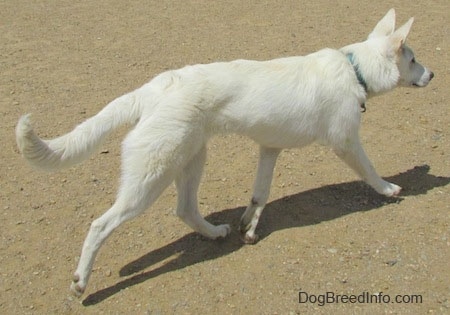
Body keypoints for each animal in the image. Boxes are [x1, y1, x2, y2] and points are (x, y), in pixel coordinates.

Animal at [16, 8, 432, 298]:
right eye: (412, 59)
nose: (432, 76)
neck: (354, 69)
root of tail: (153, 88)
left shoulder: (270, 149)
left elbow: (260, 194)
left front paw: (249, 227)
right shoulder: (345, 142)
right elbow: (370, 170)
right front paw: (390, 190)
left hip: (191, 159)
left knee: (185, 209)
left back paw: (215, 232)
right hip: (151, 177)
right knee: (100, 225)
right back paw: (80, 282)